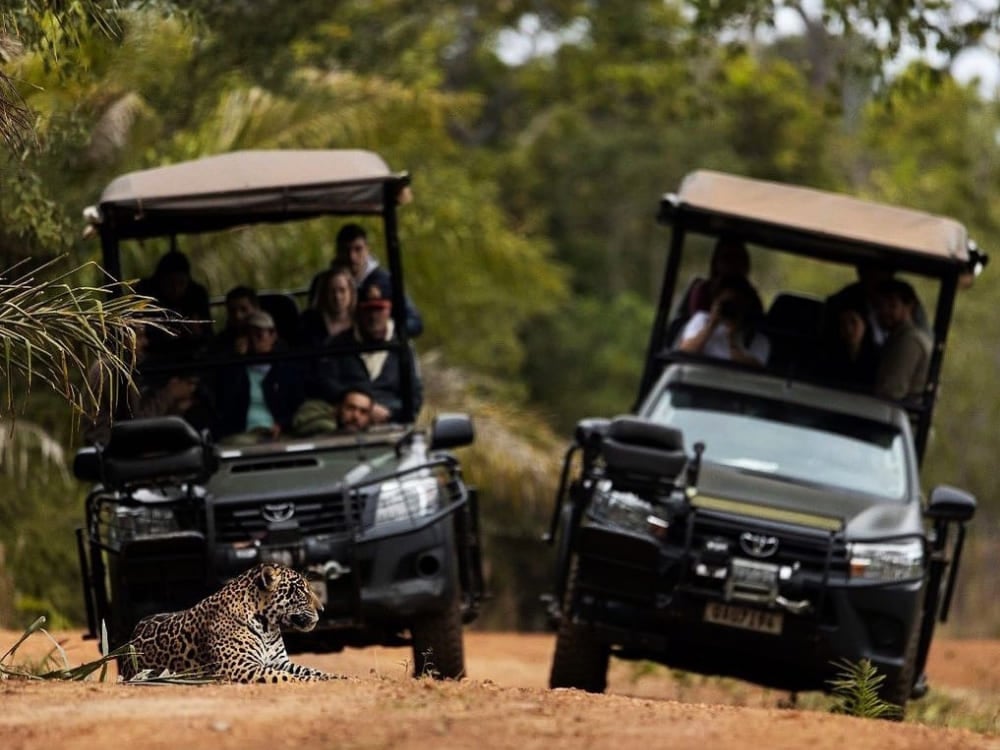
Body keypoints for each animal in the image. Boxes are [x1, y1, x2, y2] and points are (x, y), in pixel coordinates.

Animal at [119, 562, 341, 683]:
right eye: (301, 591)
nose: (322, 609)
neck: (268, 626)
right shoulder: (240, 666)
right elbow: (290, 677)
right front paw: (318, 680)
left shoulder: (279, 661)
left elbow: (310, 670)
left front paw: (339, 677)